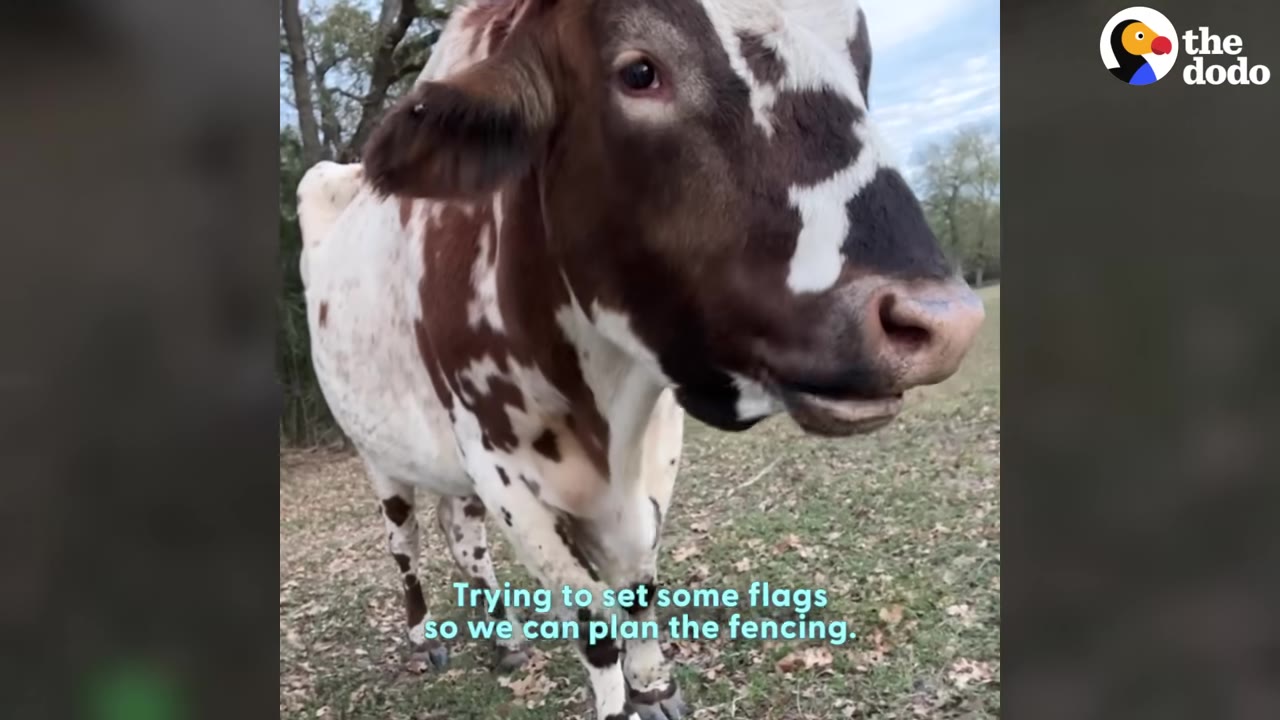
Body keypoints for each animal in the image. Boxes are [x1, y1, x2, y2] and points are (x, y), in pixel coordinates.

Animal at [296, 0, 985, 718]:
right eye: (639, 71)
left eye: (859, 60)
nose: (942, 319)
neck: (605, 403)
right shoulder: (503, 471)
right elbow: (594, 623)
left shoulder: (652, 448)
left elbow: (637, 585)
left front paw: (654, 684)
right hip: (378, 456)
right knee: (404, 541)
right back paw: (424, 637)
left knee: (462, 533)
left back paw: (505, 638)